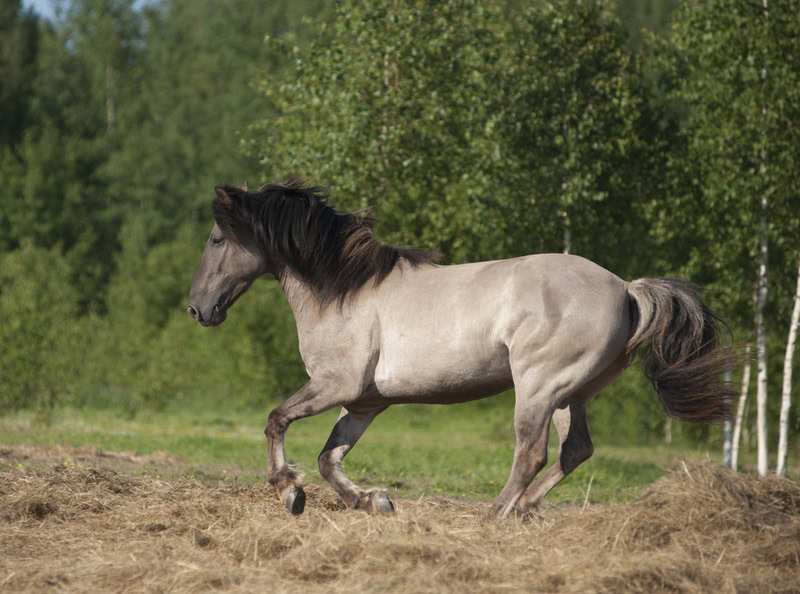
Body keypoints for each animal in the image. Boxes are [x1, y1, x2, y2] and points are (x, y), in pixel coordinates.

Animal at [187, 179, 735, 517]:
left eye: (216, 239)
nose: (197, 309)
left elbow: (276, 420)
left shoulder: (334, 384)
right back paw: (526, 510)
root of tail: (625, 288)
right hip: (573, 394)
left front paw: (289, 492)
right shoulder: (365, 401)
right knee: (576, 449)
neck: (345, 290)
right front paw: (373, 501)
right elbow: (329, 458)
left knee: (531, 453)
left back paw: (496, 513)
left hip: (538, 387)